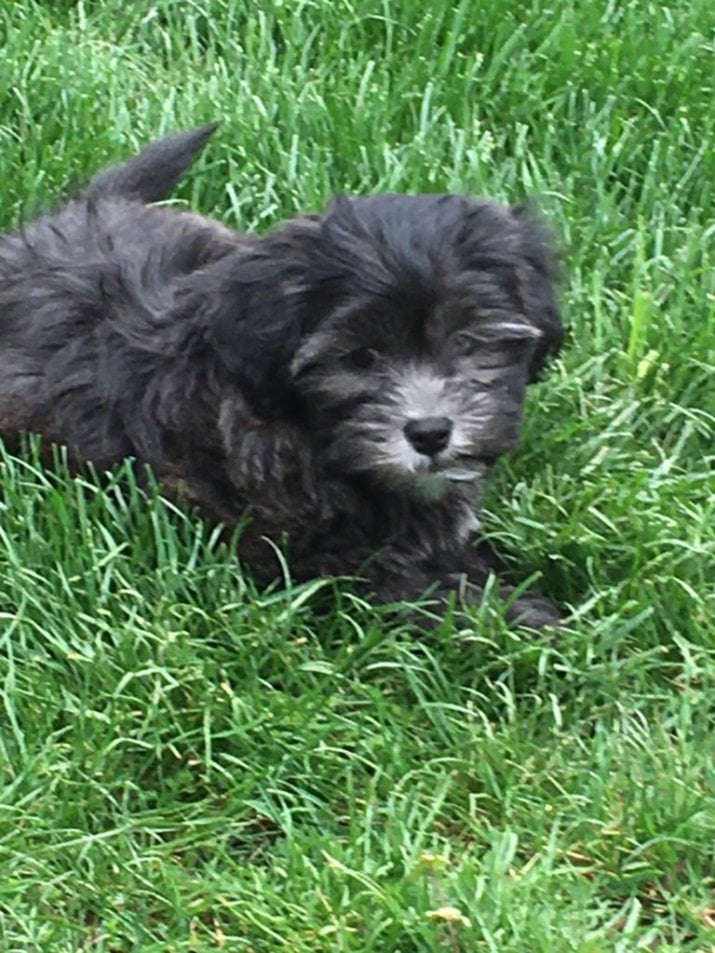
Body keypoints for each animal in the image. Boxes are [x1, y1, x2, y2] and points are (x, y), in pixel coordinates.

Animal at [0, 124, 568, 624]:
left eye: (468, 342)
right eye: (361, 358)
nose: (430, 432)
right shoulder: (316, 557)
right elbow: (418, 590)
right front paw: (526, 620)